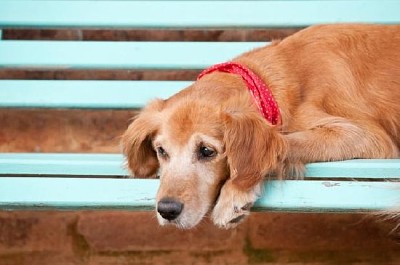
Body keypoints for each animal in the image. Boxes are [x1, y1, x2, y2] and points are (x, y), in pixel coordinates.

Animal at [122, 23, 400, 228]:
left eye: (207, 151)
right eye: (161, 151)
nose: (167, 210)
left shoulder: (365, 135)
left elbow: (288, 142)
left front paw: (234, 193)